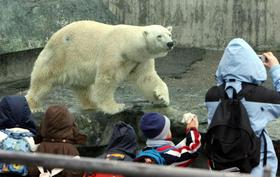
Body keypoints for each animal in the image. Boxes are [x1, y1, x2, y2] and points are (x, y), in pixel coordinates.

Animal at [26, 20, 175, 114]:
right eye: (159, 36)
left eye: (169, 34)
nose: (170, 43)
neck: (128, 44)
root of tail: (52, 38)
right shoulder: (113, 52)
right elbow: (107, 79)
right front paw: (115, 107)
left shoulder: (139, 60)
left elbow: (147, 78)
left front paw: (162, 98)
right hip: (59, 56)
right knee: (43, 81)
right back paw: (34, 106)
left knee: (83, 87)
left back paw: (91, 104)